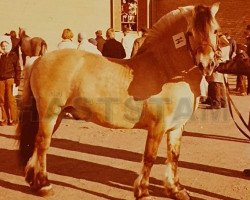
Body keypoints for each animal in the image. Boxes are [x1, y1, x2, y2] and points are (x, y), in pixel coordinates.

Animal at [18, 3, 221, 200]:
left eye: (216, 31)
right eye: (190, 32)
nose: (207, 64)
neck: (165, 70)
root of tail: (38, 60)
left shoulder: (177, 127)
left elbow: (174, 156)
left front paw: (176, 190)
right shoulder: (158, 126)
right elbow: (150, 157)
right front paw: (143, 192)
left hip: (57, 115)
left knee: (38, 144)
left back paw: (33, 181)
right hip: (50, 114)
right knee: (43, 144)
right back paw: (44, 185)